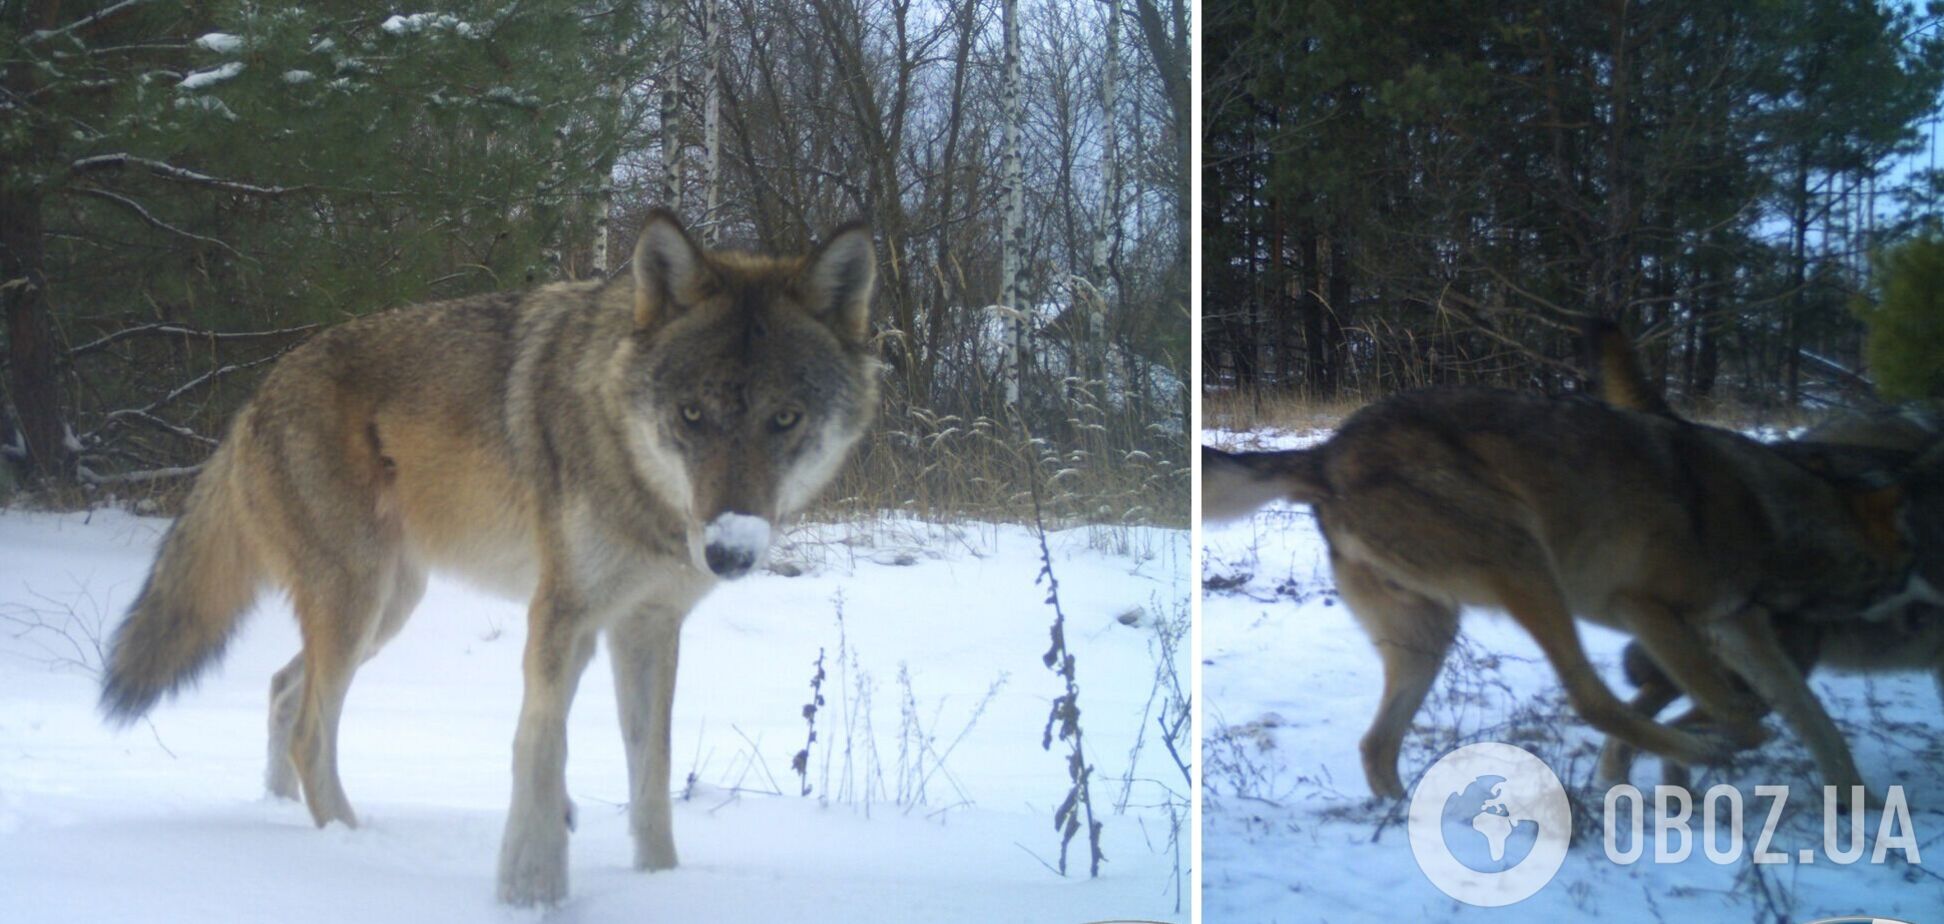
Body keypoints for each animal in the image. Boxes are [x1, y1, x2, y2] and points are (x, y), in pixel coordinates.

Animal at [98, 208, 874, 902]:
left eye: (785, 419)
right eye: (691, 415)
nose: (729, 552)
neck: (639, 484)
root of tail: (254, 398)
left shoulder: (647, 625)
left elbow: (651, 770)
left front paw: (661, 883)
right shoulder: (562, 612)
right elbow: (540, 748)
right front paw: (531, 887)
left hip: (387, 610)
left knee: (283, 690)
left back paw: (287, 819)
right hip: (361, 605)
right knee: (311, 729)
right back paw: (351, 845)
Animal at [1197, 385, 1912, 801]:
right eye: (1907, 566)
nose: (1916, 595)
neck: (1775, 520)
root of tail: (1326, 452)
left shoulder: (1739, 626)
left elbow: (1811, 717)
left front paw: (1861, 809)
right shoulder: (1648, 609)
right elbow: (1738, 709)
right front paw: (1717, 744)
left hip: (1430, 639)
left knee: (1377, 746)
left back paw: (1404, 816)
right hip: (1528, 568)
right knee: (1590, 699)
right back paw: (1697, 750)